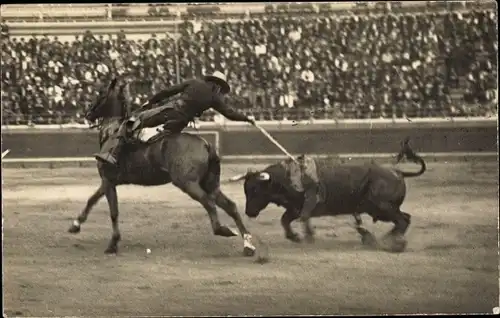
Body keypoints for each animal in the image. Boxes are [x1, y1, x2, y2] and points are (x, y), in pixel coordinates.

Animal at [68, 78, 256, 258]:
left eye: (101, 94)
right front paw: (75, 225)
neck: (112, 132)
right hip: (210, 184)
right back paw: (248, 245)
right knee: (230, 206)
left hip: (187, 183)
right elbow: (92, 199)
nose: (88, 114)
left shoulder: (108, 180)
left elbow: (113, 212)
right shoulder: (108, 181)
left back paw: (223, 230)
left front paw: (112, 245)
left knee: (209, 203)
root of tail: (206, 144)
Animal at [230, 139, 426, 253]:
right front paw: (296, 237)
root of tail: (398, 172)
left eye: (255, 190)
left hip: (382, 207)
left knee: (402, 220)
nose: (248, 212)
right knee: (405, 218)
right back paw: (381, 239)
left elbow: (301, 218)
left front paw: (307, 237)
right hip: (379, 209)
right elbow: (286, 220)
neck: (286, 177)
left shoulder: (305, 204)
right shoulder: (294, 208)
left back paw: (393, 243)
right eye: (246, 190)